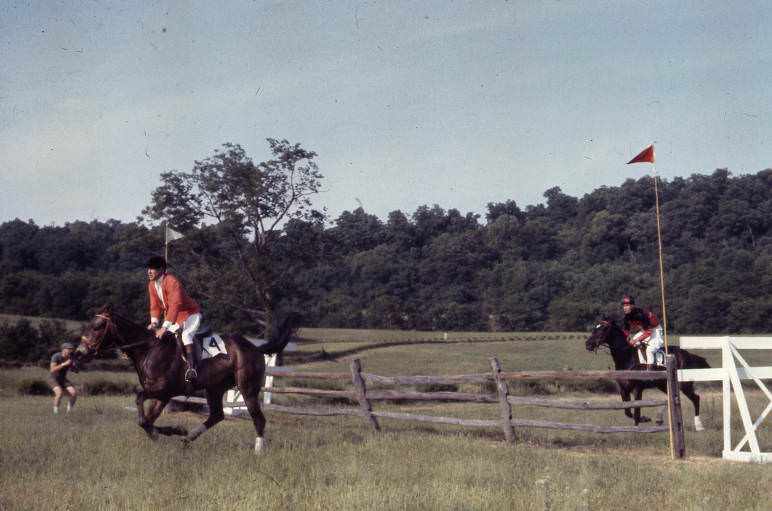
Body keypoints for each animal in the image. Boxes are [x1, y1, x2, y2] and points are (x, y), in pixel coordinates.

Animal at [74, 304, 300, 452]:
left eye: (97, 326)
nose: (78, 353)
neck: (148, 350)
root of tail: (255, 348)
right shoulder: (161, 395)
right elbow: (146, 420)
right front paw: (174, 431)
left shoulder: (162, 391)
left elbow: (140, 404)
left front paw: (165, 432)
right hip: (214, 389)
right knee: (216, 415)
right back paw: (187, 439)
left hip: (247, 388)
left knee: (258, 419)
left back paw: (258, 451)